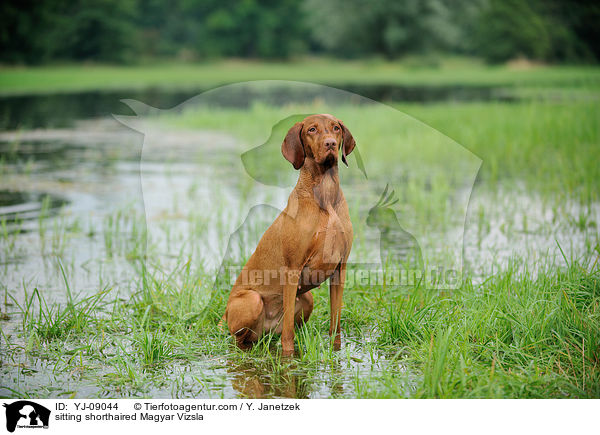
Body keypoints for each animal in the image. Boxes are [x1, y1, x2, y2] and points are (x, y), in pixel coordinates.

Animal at [221, 114, 356, 356]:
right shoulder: (293, 269)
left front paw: (336, 350)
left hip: (307, 299)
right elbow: (288, 336)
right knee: (240, 340)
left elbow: (335, 325)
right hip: (252, 301)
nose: (331, 143)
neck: (325, 195)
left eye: (336, 128)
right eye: (312, 129)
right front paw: (288, 358)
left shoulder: (340, 268)